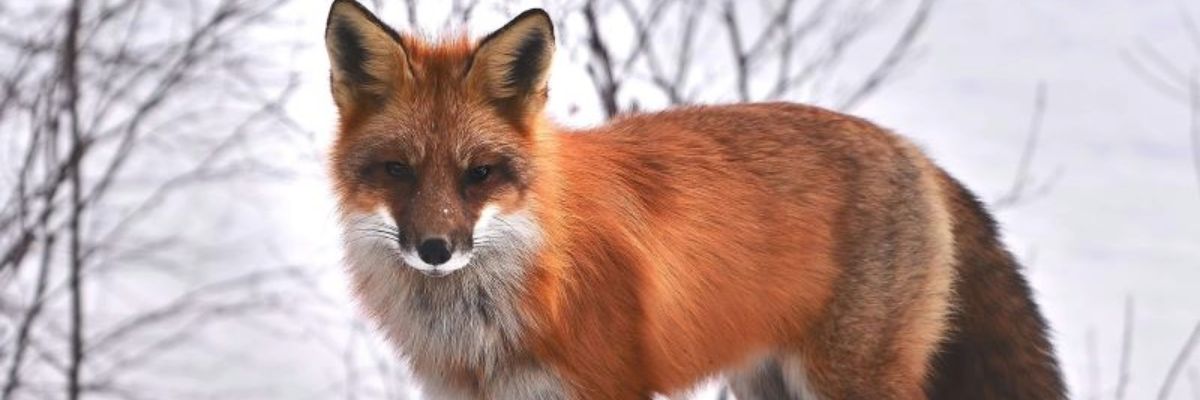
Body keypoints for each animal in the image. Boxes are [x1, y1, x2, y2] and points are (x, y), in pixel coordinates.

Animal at [323, 1, 1065, 399]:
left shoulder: (609, 386)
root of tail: (913, 150)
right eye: (397, 170)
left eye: (478, 173)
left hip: (849, 379)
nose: (435, 249)